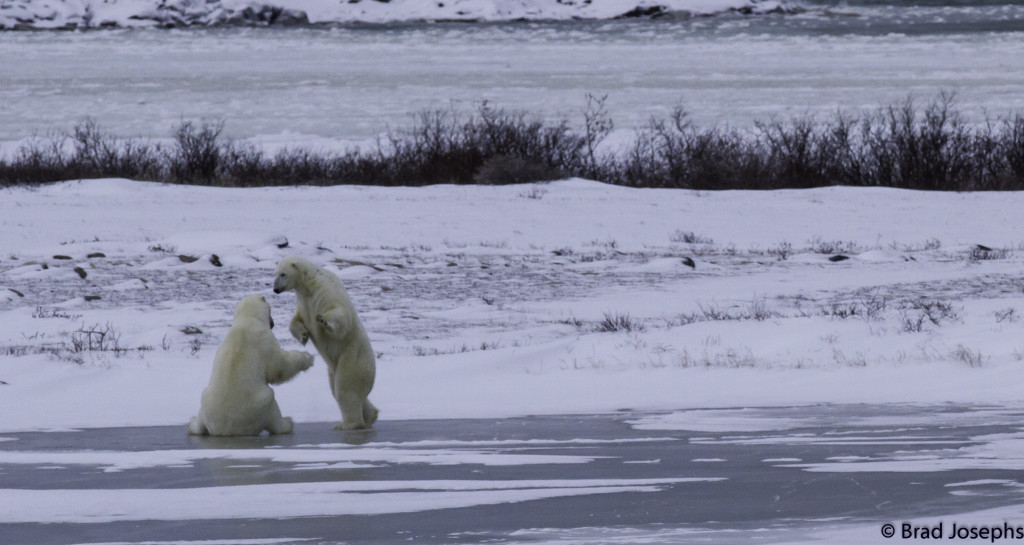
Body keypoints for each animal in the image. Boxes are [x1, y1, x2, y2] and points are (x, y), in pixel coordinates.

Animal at [187, 295, 314, 436]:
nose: (273, 323)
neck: (247, 320)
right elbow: (278, 367)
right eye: (270, 312)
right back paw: (288, 422)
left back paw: (193, 422)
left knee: (199, 418)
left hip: (205, 401)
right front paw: (308, 358)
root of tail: (225, 430)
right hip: (259, 405)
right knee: (272, 408)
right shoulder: (264, 340)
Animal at [273, 256, 379, 430]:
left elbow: (340, 314)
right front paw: (303, 335)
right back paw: (371, 416)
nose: (275, 289)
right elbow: (296, 320)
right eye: (274, 273)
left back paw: (349, 424)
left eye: (283, 274)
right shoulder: (302, 301)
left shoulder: (324, 292)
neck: (309, 284)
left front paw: (323, 320)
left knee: (346, 388)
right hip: (332, 368)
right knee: (338, 390)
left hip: (353, 356)